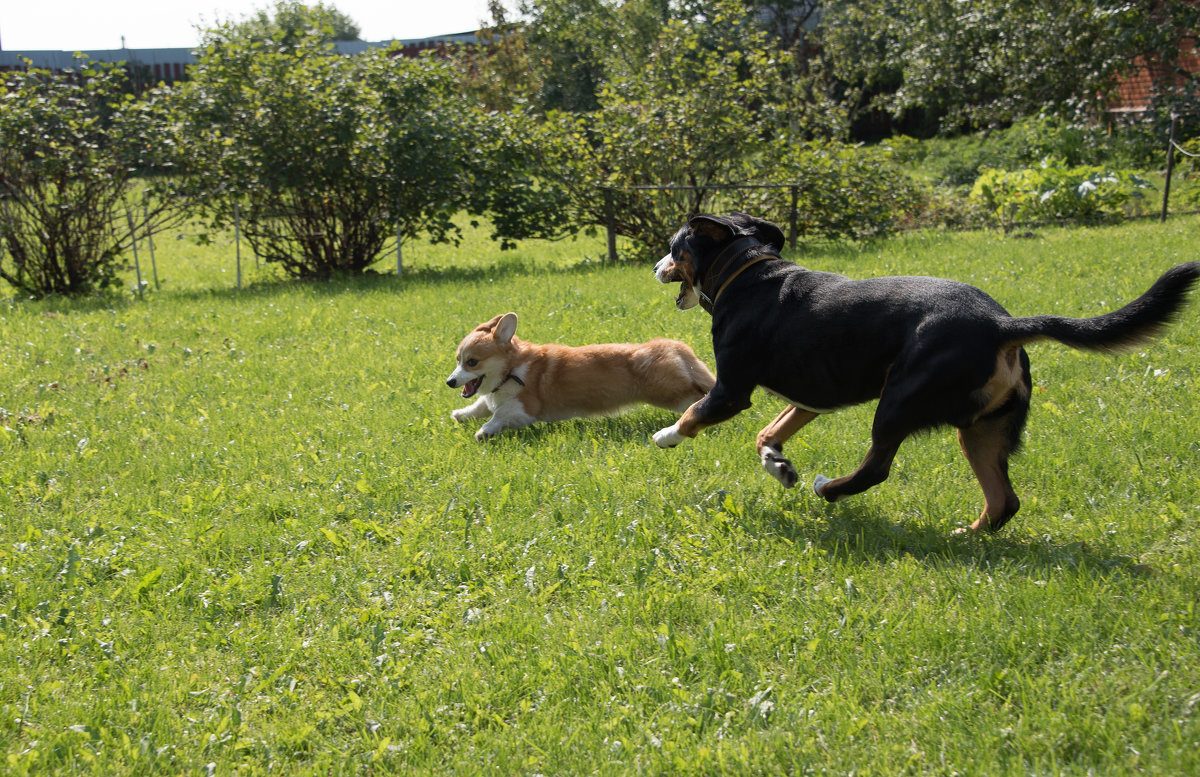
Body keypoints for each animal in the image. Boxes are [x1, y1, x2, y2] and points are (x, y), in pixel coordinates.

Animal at [657, 212, 1200, 529]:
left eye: (674, 246)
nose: (656, 266)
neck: (746, 270)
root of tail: (1002, 325)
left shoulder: (732, 390)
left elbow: (694, 414)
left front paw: (666, 437)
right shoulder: (812, 397)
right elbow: (769, 433)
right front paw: (778, 464)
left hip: (899, 402)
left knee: (875, 469)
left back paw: (829, 489)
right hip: (984, 430)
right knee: (1003, 501)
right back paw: (972, 536)